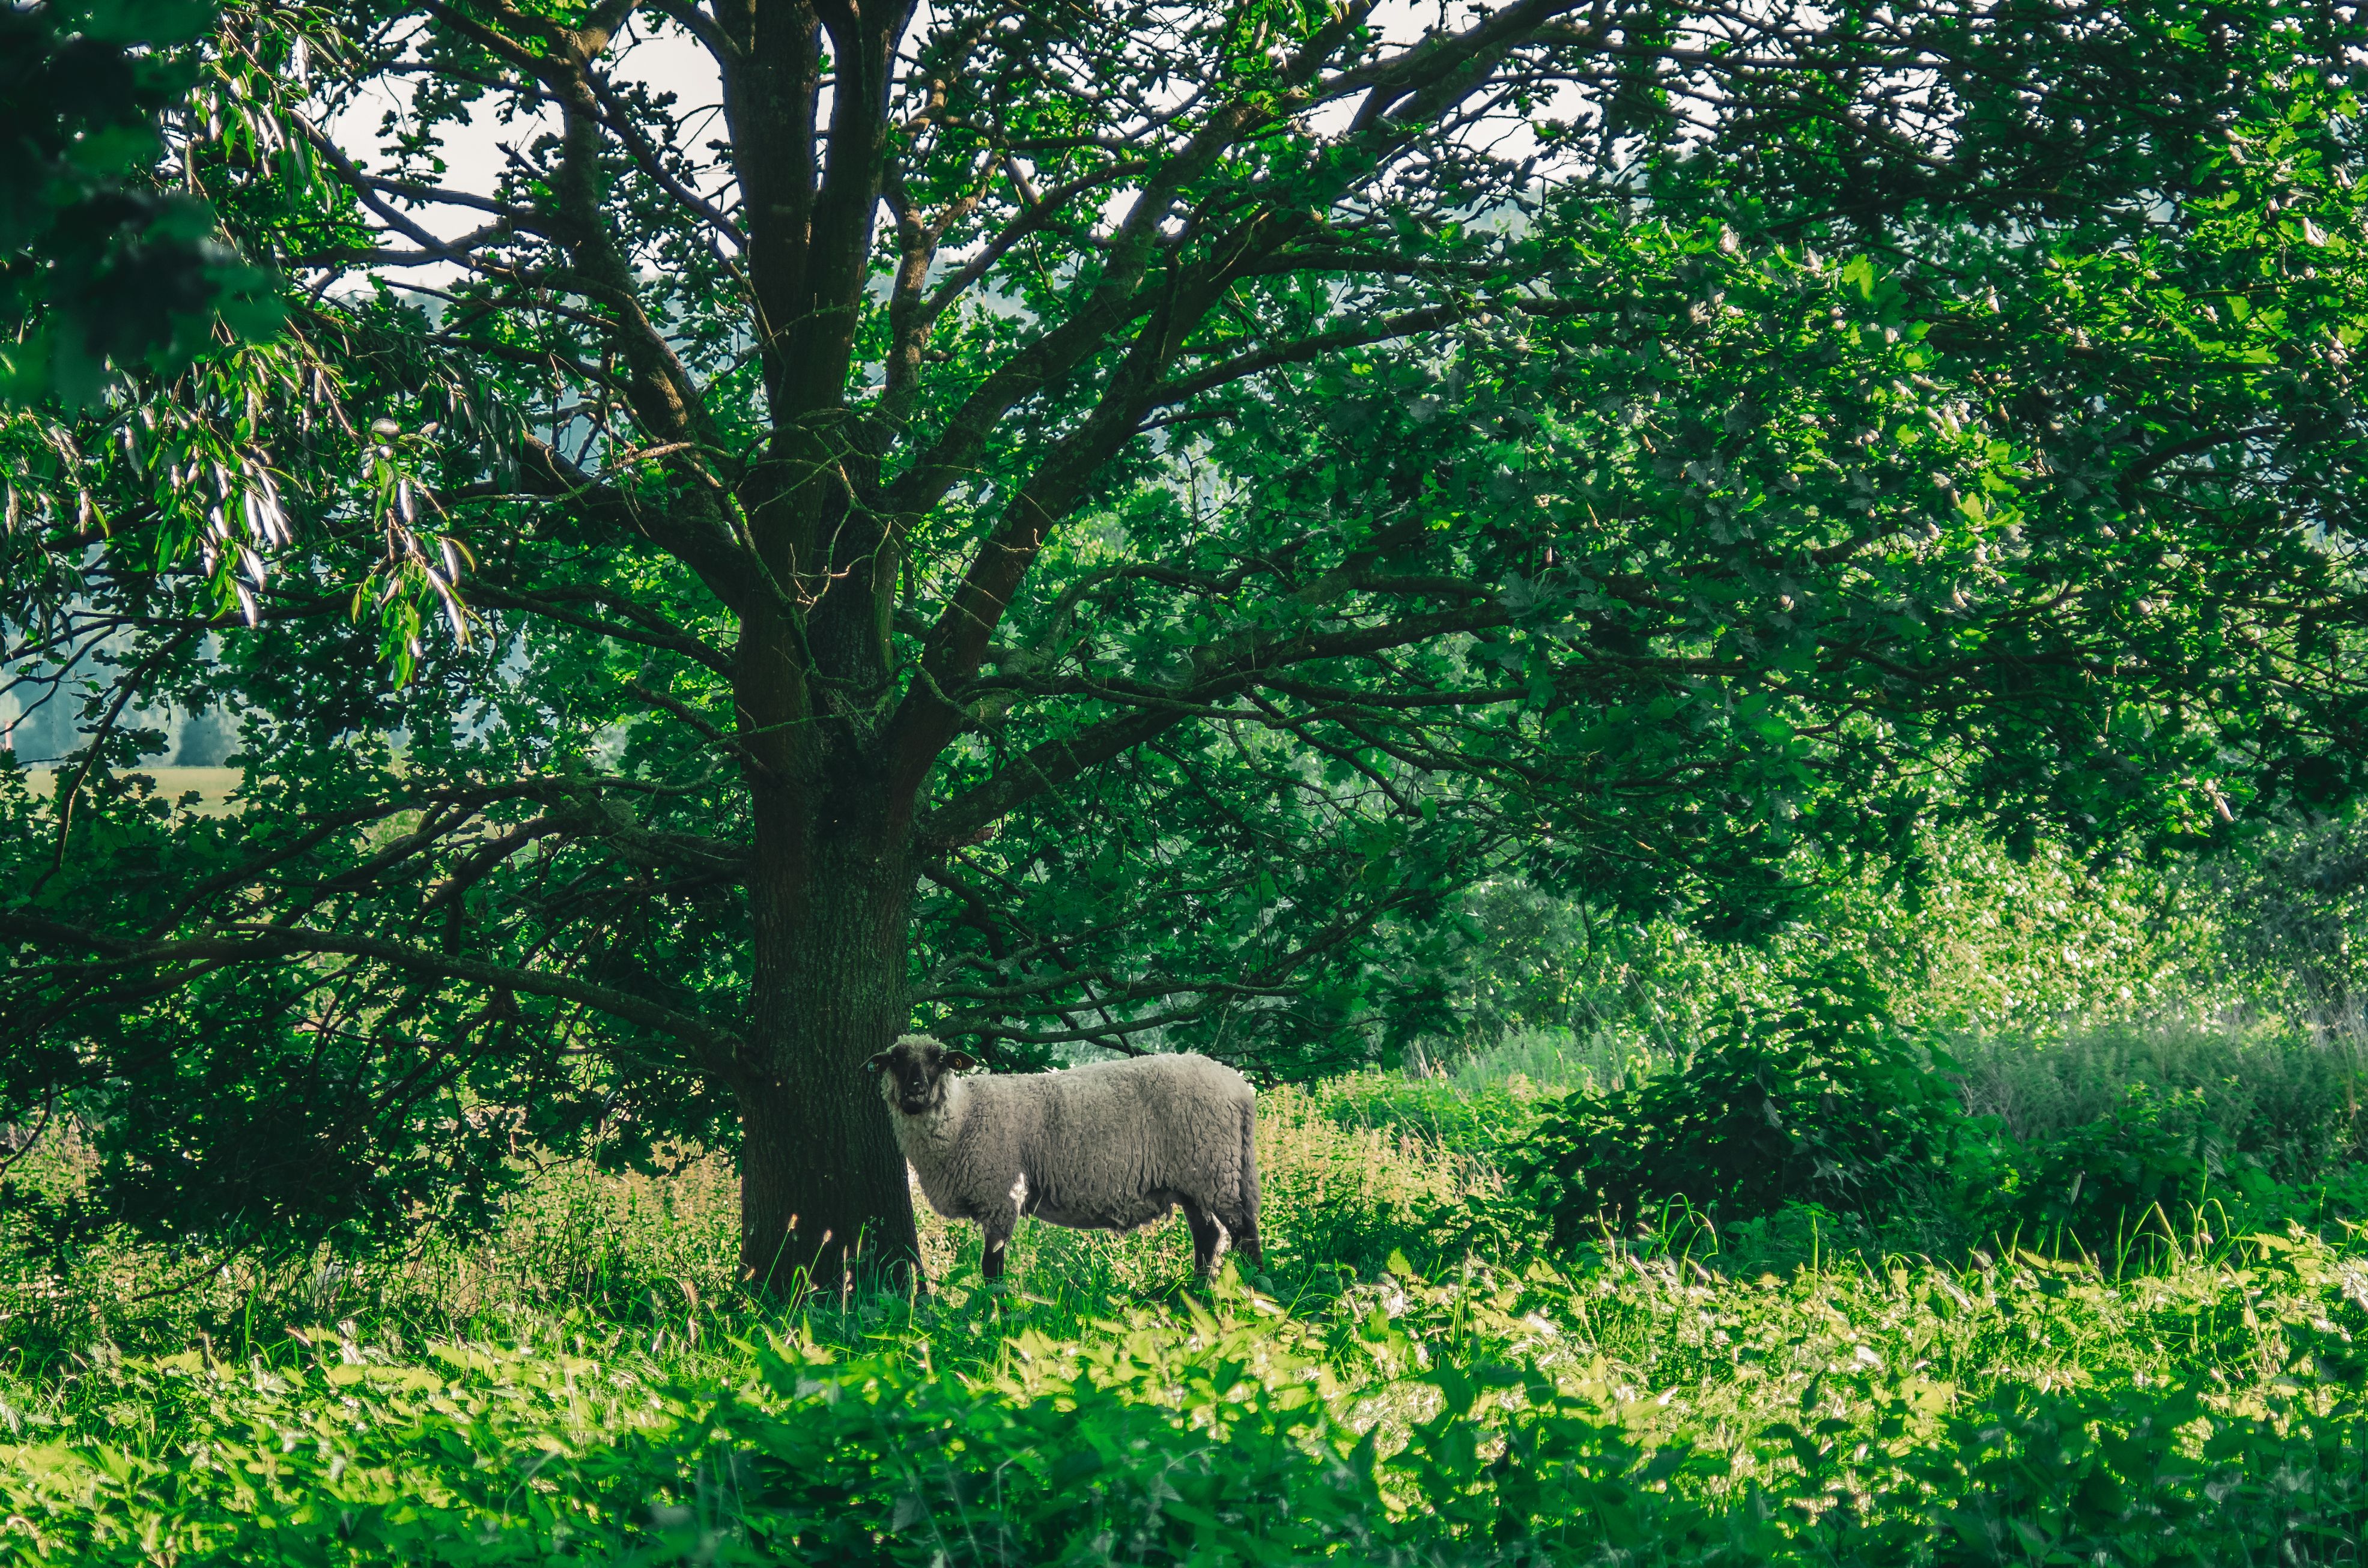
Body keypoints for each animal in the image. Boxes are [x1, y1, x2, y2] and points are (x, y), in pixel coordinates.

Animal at [865, 1034, 1261, 1282]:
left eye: (940, 1061)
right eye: (895, 1061)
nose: (915, 1092)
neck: (964, 1115)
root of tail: (1239, 1087)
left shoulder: (1001, 1195)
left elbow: (992, 1267)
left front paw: (995, 1319)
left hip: (1213, 1167)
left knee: (1244, 1232)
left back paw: (1255, 1293)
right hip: (1194, 1178)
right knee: (1209, 1236)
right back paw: (1199, 1296)